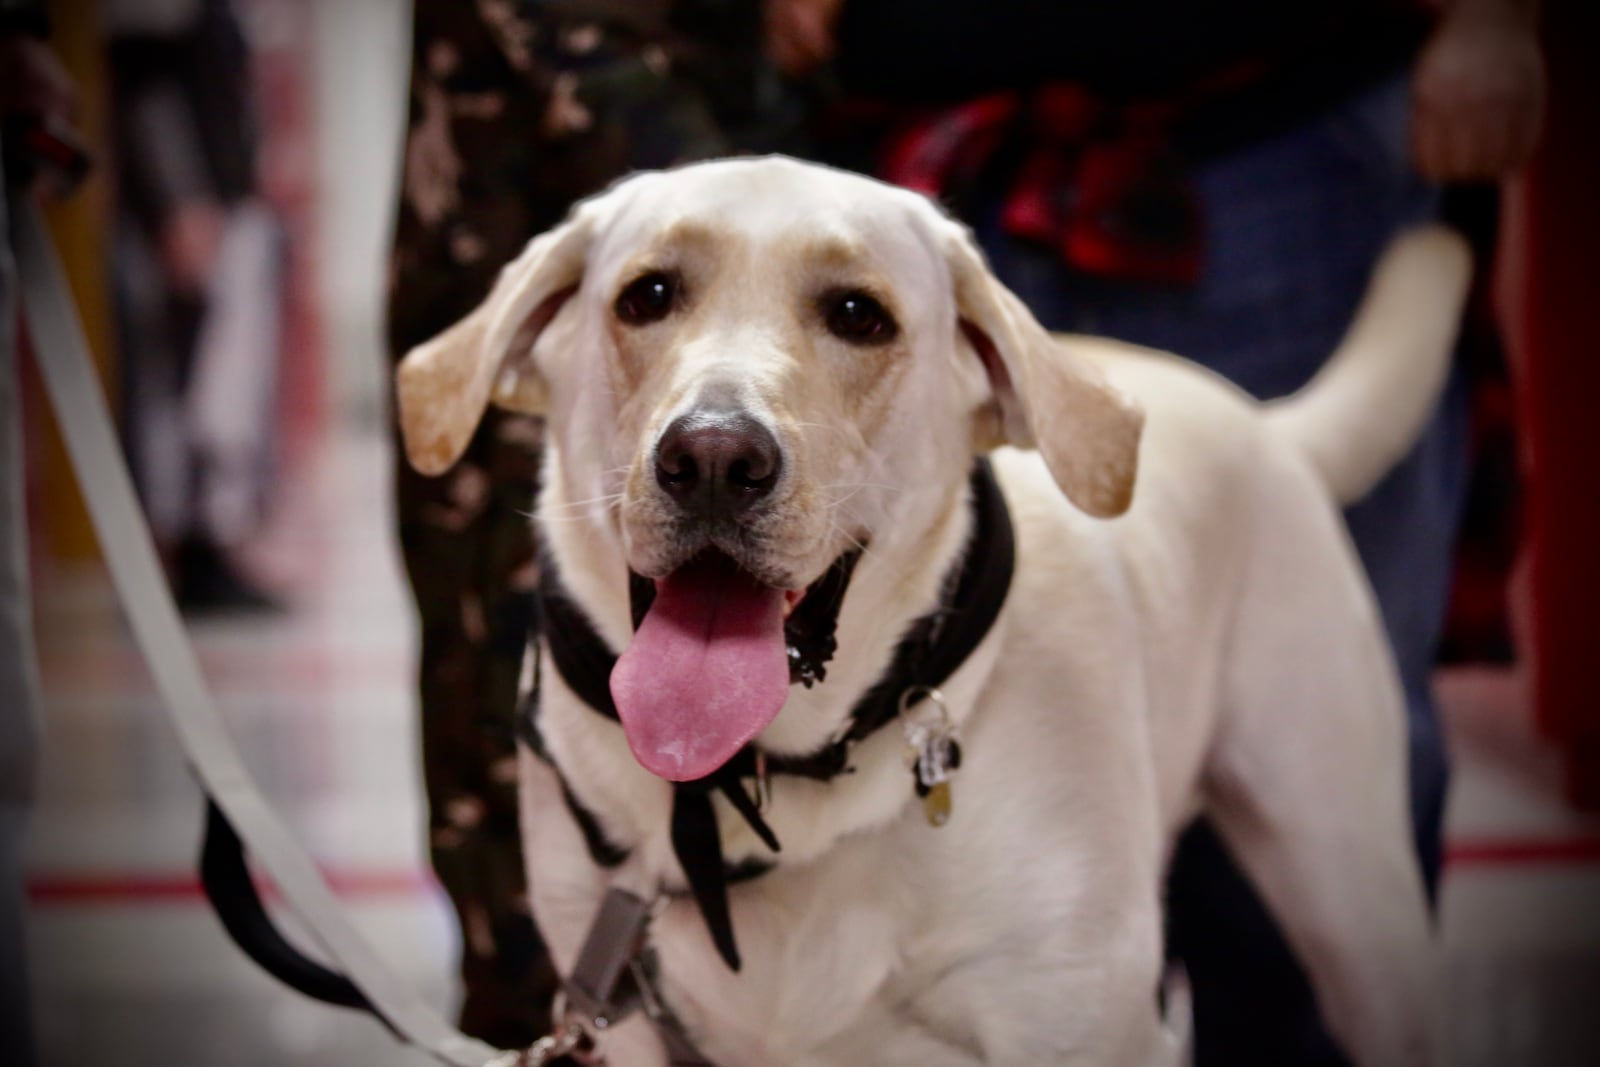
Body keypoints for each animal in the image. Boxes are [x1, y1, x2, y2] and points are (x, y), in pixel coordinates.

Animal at [393, 154, 1465, 1062]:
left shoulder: (1074, 1015)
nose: (712, 457)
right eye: (647, 296)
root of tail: (1267, 422)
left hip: (1346, 887)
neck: (775, 772)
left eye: (859, 315)